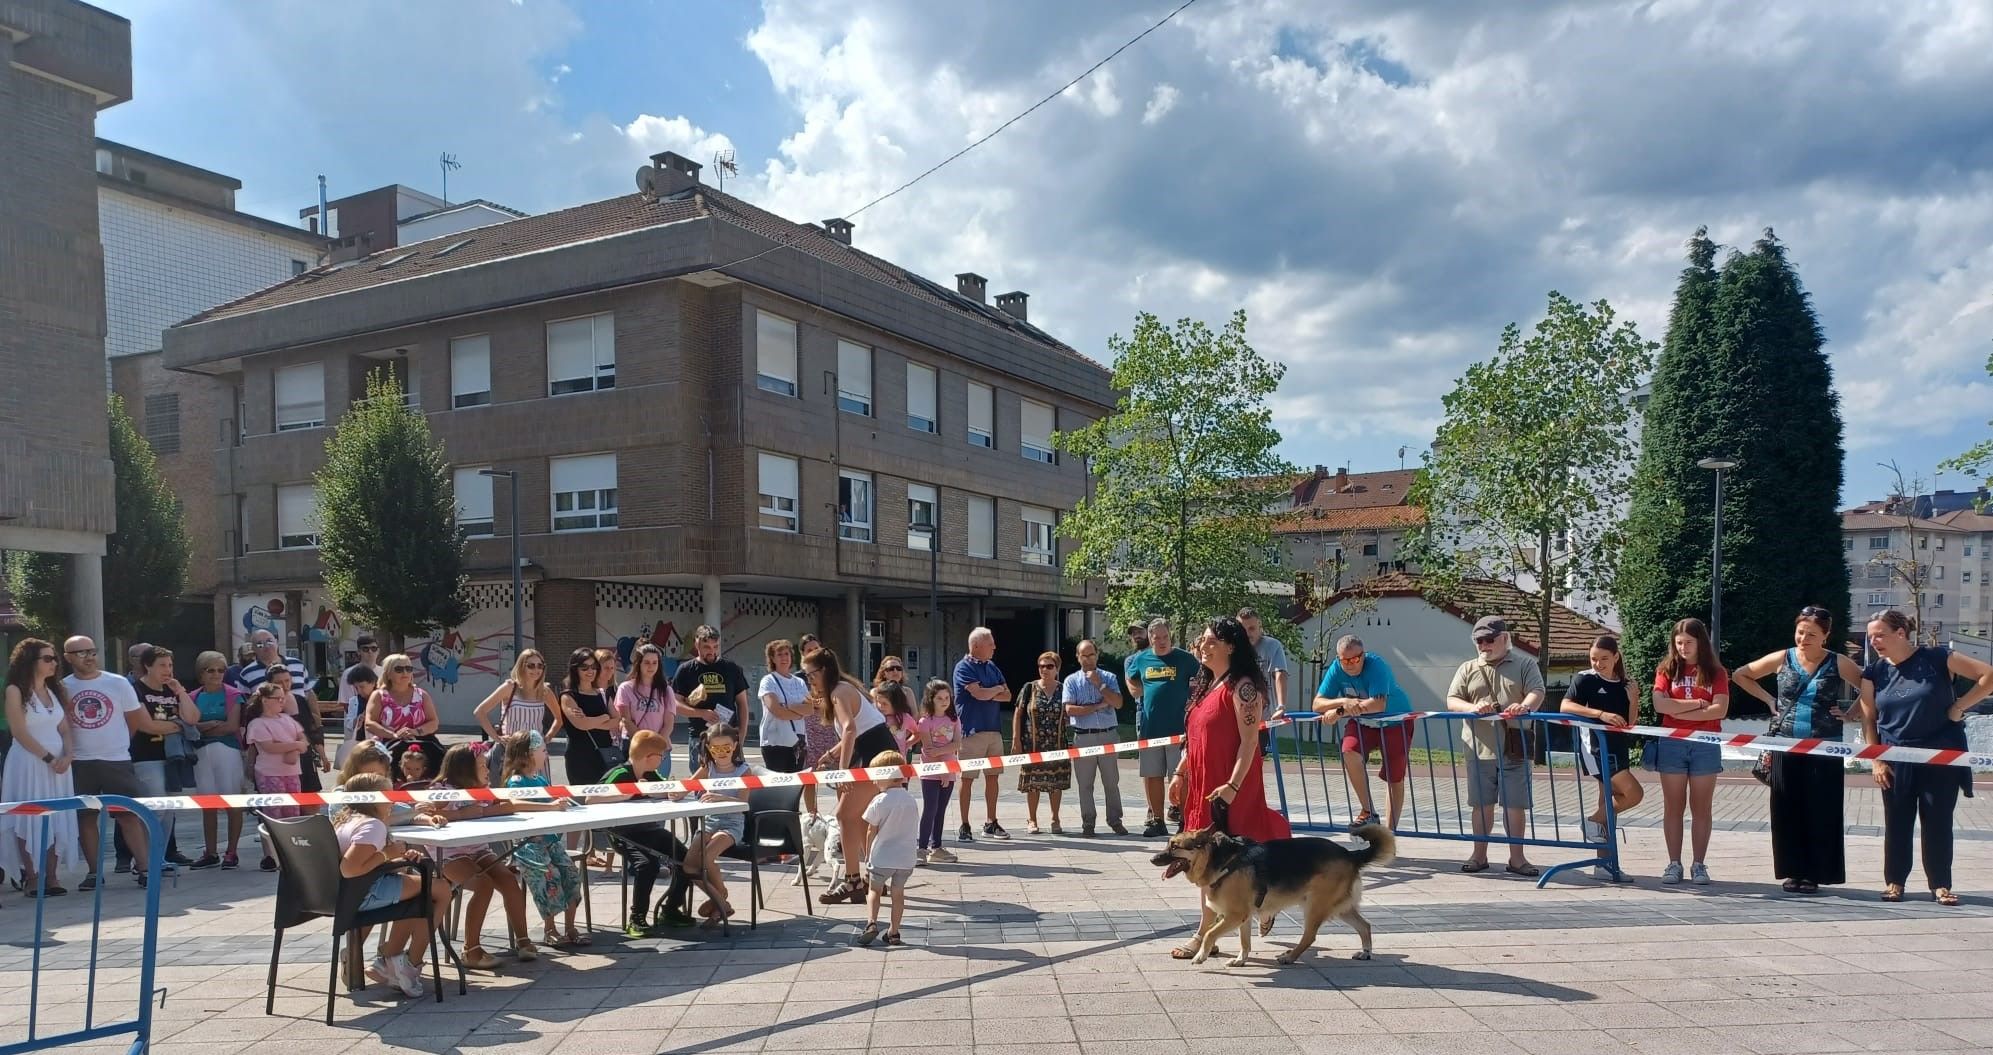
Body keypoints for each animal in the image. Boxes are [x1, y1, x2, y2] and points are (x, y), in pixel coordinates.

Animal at [1155, 825, 1403, 965]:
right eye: (1168, 844)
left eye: (1174, 845)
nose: (1152, 859)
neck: (1222, 860)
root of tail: (1351, 855)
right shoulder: (1243, 917)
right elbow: (1245, 942)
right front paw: (1241, 960)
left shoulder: (1235, 915)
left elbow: (1209, 934)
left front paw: (1201, 956)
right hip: (1340, 908)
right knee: (1365, 926)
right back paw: (1366, 952)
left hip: (1315, 907)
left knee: (1310, 937)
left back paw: (1290, 957)